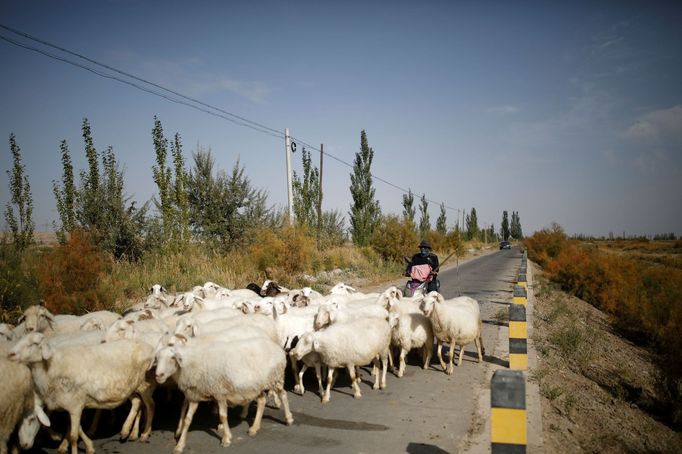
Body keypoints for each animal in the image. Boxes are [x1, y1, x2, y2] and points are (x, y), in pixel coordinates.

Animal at [154, 336, 292, 452]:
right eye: (157, 359)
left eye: (172, 358)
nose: (158, 375)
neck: (192, 363)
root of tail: (277, 348)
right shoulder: (195, 395)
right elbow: (188, 420)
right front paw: (180, 445)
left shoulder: (219, 392)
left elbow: (223, 416)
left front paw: (226, 439)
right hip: (256, 385)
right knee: (262, 400)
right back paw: (254, 428)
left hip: (275, 377)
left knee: (283, 394)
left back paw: (289, 419)